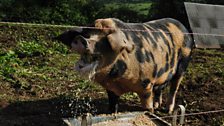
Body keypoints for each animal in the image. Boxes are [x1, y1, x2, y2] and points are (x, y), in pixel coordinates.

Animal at [56, 18, 194, 114]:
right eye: (87, 34)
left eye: (105, 39)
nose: (81, 39)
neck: (118, 80)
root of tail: (183, 27)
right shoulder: (111, 89)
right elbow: (112, 107)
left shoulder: (146, 84)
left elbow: (146, 107)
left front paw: (150, 112)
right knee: (160, 88)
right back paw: (157, 106)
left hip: (184, 63)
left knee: (174, 88)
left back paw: (167, 111)